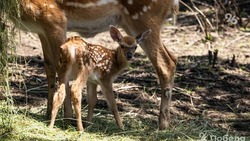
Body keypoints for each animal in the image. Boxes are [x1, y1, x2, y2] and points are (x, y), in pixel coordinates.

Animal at [4, 0, 179, 130]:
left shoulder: (55, 20)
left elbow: (60, 69)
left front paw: (67, 119)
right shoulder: (41, 30)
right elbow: (49, 67)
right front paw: (48, 115)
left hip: (144, 17)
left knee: (166, 64)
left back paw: (162, 125)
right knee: (173, 58)